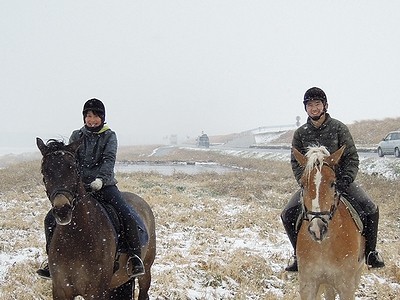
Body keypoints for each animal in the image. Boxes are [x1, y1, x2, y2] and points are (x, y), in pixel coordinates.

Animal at [36, 138, 156, 300]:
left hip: (145, 272)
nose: (62, 211)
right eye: (44, 171)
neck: (76, 237)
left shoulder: (95, 292)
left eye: (74, 169)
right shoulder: (60, 290)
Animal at [292, 146, 364, 300]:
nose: (317, 228)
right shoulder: (308, 284)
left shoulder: (346, 287)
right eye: (302, 184)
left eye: (333, 183)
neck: (324, 246)